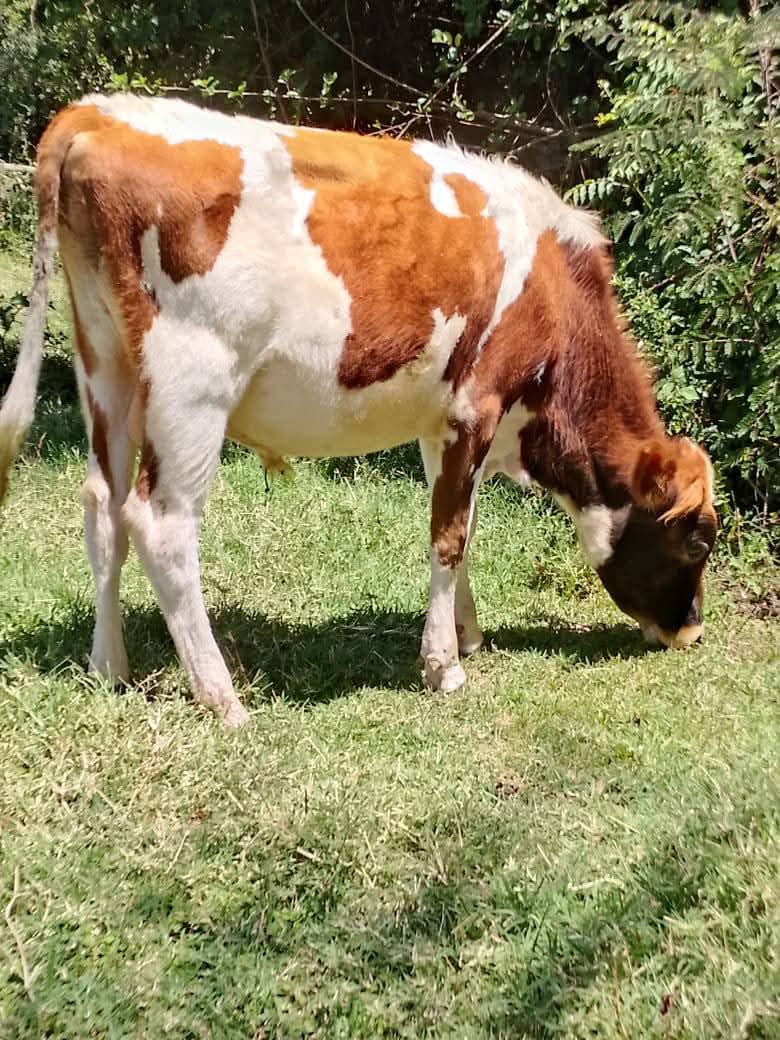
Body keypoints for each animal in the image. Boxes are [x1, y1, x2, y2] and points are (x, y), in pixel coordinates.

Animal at [0, 95, 718, 726]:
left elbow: (462, 523)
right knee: (161, 523)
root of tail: (100, 113)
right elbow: (449, 537)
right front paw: (444, 666)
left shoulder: (442, 420)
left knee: (102, 506)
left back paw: (109, 667)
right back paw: (222, 698)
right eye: (698, 540)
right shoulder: (475, 406)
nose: (691, 630)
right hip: (192, 384)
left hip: (107, 366)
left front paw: (468, 634)